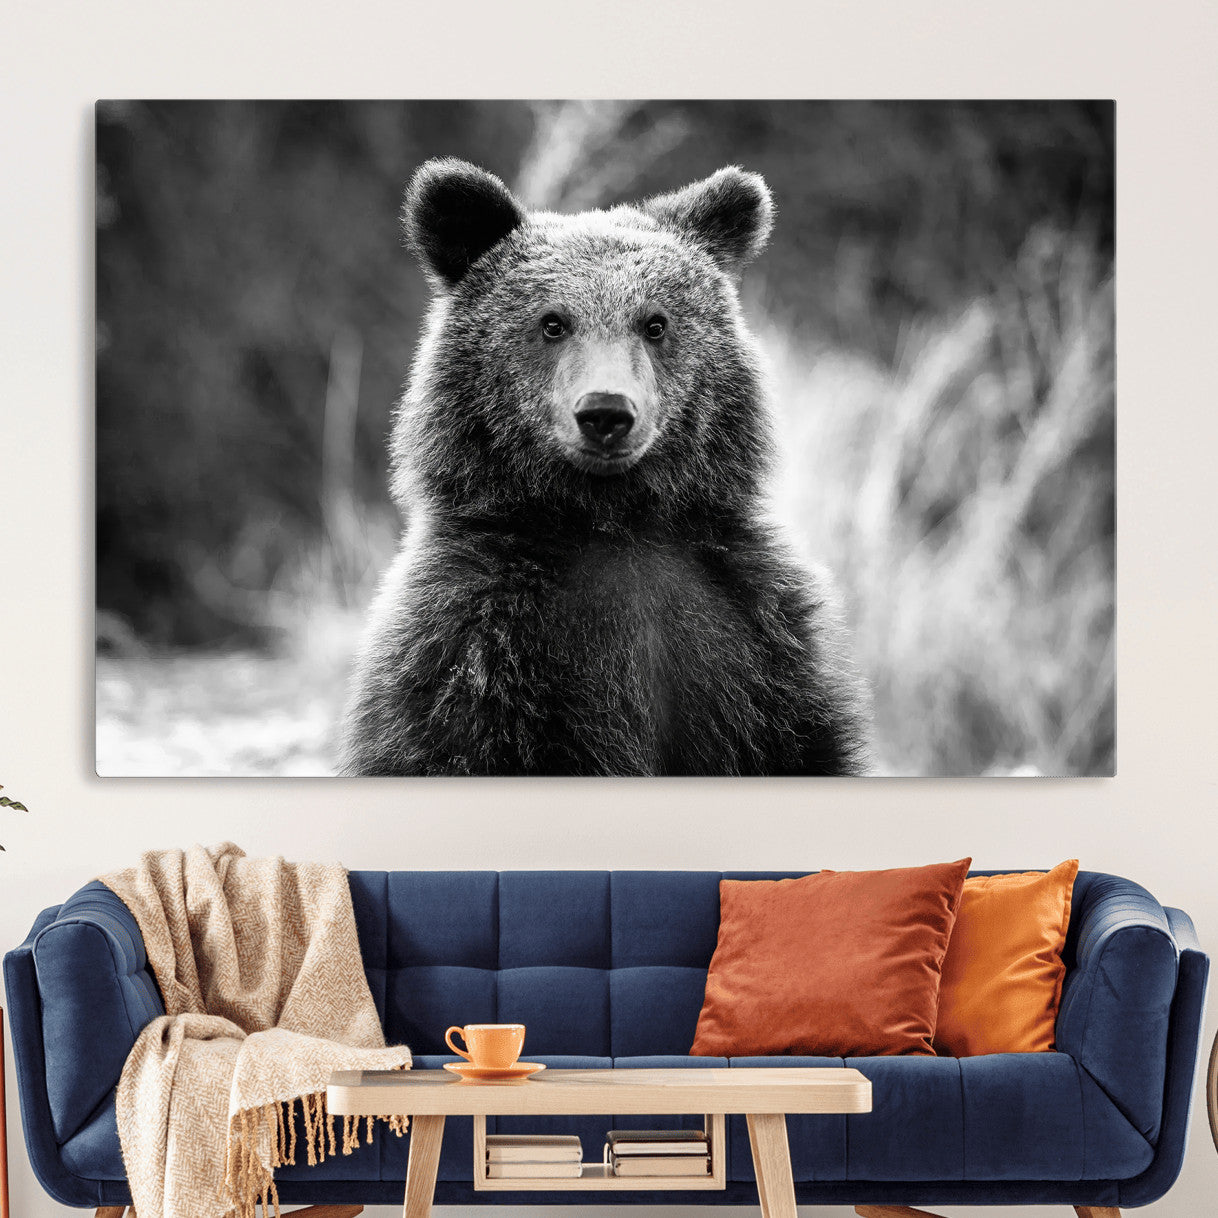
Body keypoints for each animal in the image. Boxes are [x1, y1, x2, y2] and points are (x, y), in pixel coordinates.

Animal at [340, 158, 870, 776]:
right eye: (552, 322)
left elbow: (801, 743)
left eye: (655, 323)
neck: (612, 521)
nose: (606, 412)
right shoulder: (473, 648)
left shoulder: (756, 638)